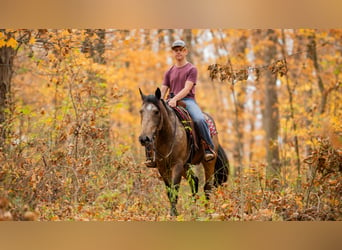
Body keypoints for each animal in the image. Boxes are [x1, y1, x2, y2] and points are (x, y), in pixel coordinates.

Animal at [138, 88, 228, 217]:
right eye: (141, 111)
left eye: (156, 112)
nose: (144, 139)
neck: (167, 136)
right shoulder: (162, 167)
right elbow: (169, 190)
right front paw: (173, 213)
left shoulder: (177, 165)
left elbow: (175, 189)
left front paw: (174, 214)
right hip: (186, 165)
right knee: (194, 181)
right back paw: (194, 209)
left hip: (209, 162)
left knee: (207, 186)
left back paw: (207, 212)